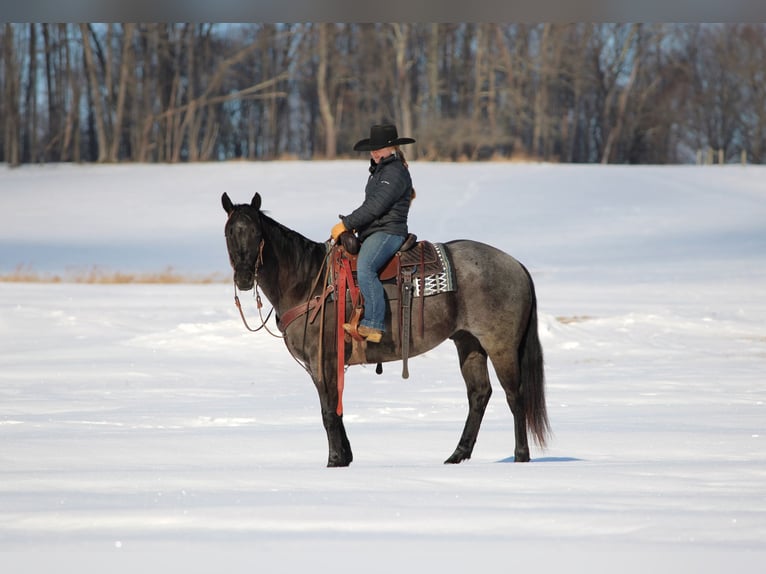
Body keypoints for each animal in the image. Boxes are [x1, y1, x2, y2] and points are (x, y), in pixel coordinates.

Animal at [222, 191, 549, 467]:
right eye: (228, 233)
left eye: (256, 233)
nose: (244, 277)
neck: (309, 281)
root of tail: (516, 265)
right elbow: (336, 408)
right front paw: (345, 457)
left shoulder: (321, 360)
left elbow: (328, 410)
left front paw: (334, 460)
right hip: (469, 343)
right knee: (479, 394)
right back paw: (457, 455)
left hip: (500, 345)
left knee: (514, 395)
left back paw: (521, 456)